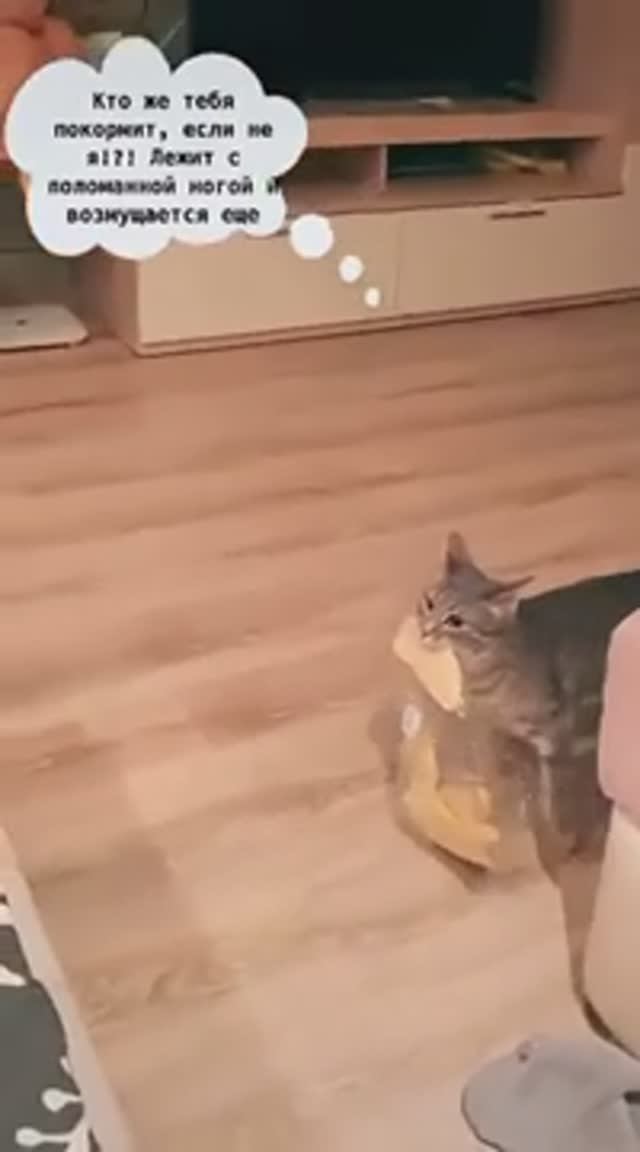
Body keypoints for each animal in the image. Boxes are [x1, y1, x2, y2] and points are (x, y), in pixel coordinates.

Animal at [416, 532, 640, 852]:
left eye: (456, 621)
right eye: (429, 603)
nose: (425, 631)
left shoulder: (555, 745)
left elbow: (555, 808)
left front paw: (559, 843)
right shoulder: (495, 734)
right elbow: (496, 780)